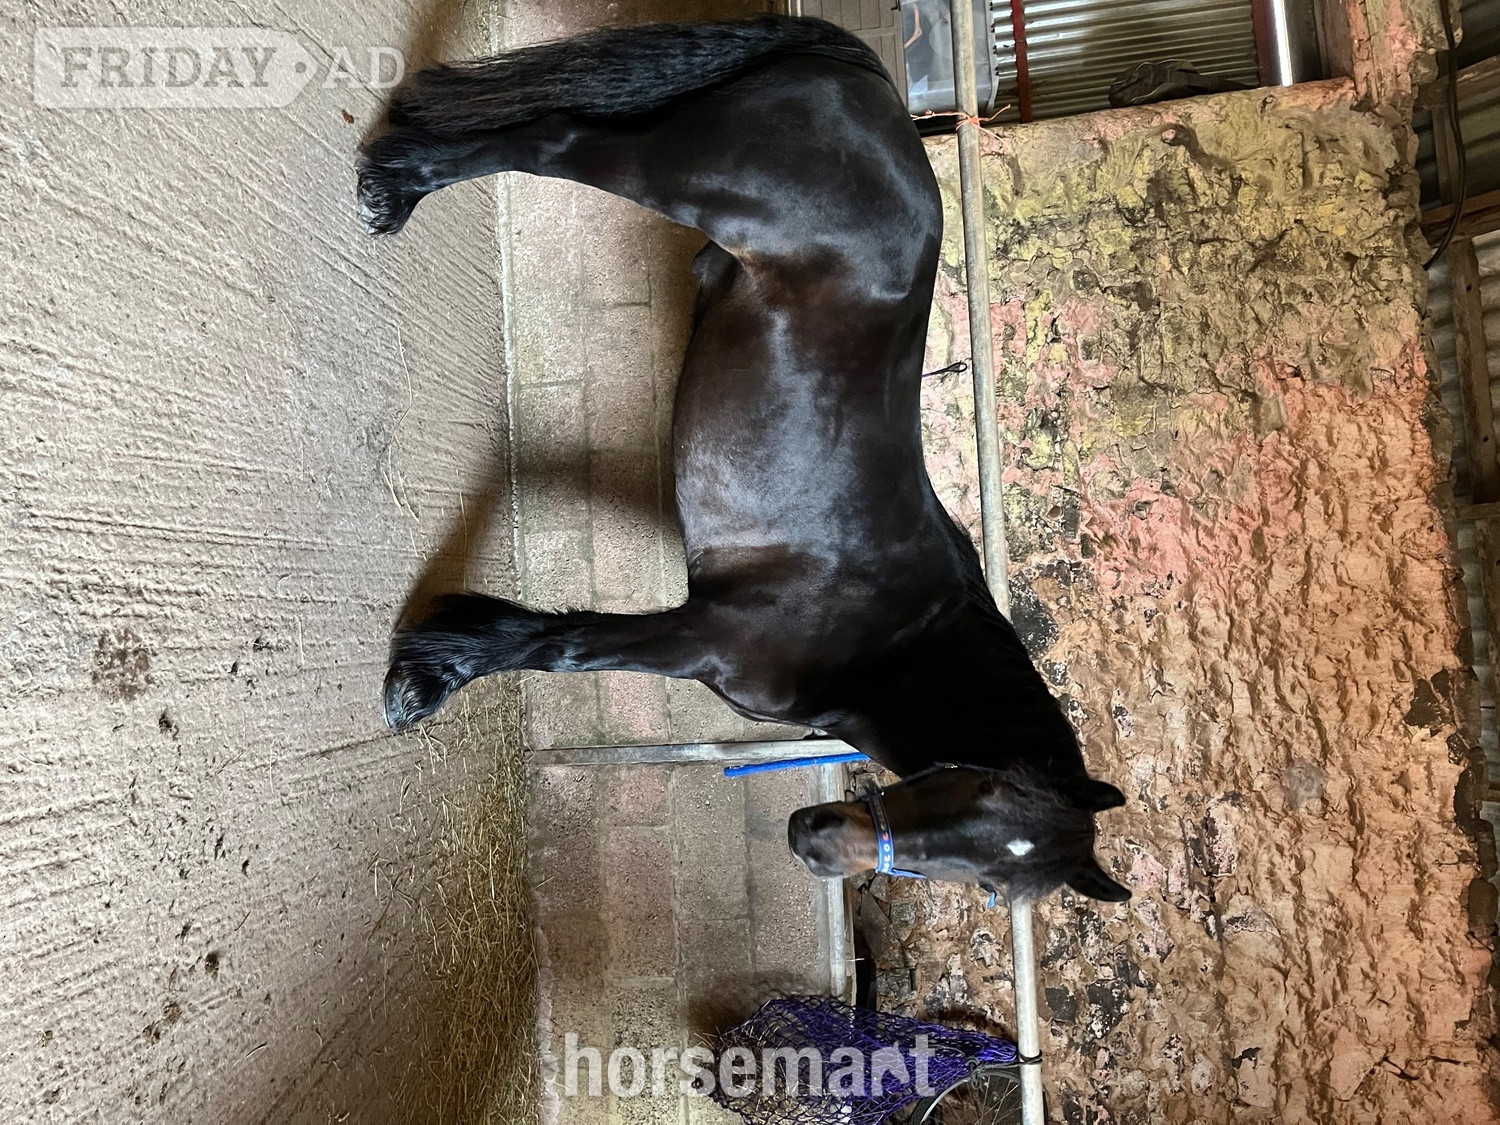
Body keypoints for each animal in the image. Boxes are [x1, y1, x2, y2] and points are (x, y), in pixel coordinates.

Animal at [358, 15, 1130, 904]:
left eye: (997, 888)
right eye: (980, 786)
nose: (813, 837)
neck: (895, 641)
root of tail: (874, 90)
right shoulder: (702, 632)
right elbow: (561, 645)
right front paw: (428, 677)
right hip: (670, 172)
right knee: (554, 139)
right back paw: (398, 186)